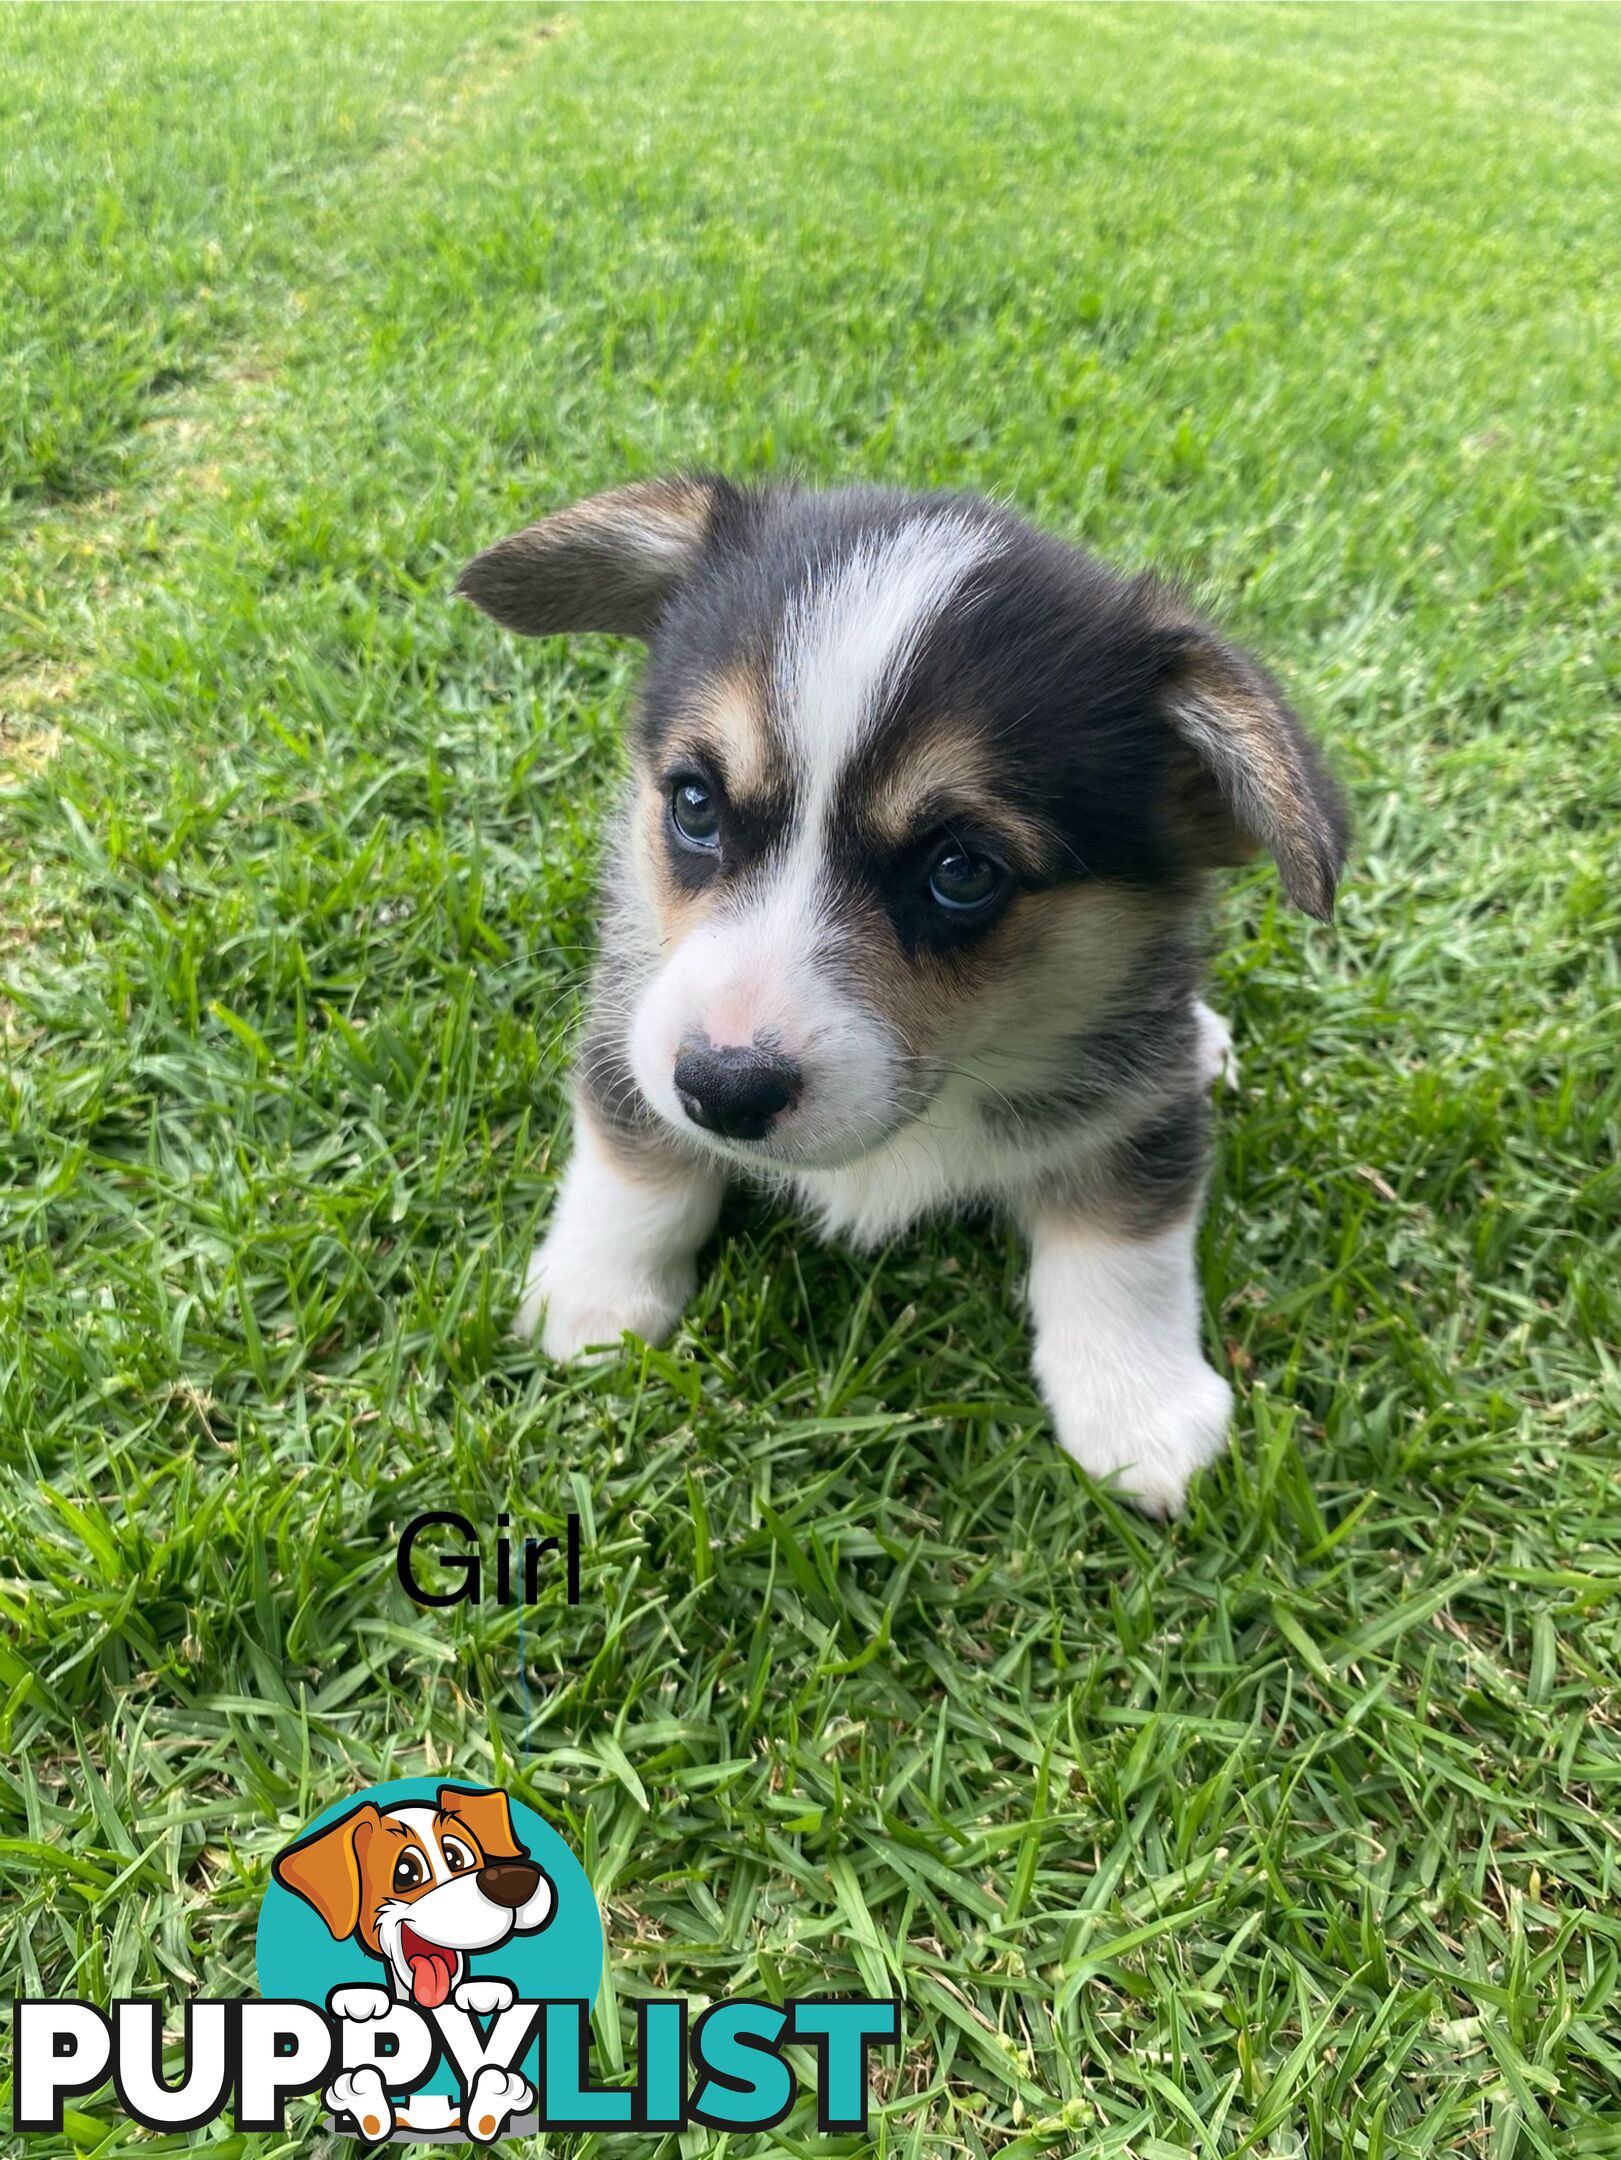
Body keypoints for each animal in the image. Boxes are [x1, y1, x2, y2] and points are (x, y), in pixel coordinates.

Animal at [458, 481, 1348, 1512]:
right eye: (693, 803)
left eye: (962, 873)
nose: (720, 1090)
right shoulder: (630, 1014)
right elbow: (634, 1164)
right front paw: (596, 1299)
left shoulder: (1134, 1108)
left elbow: (1124, 1248)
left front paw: (1139, 1411)